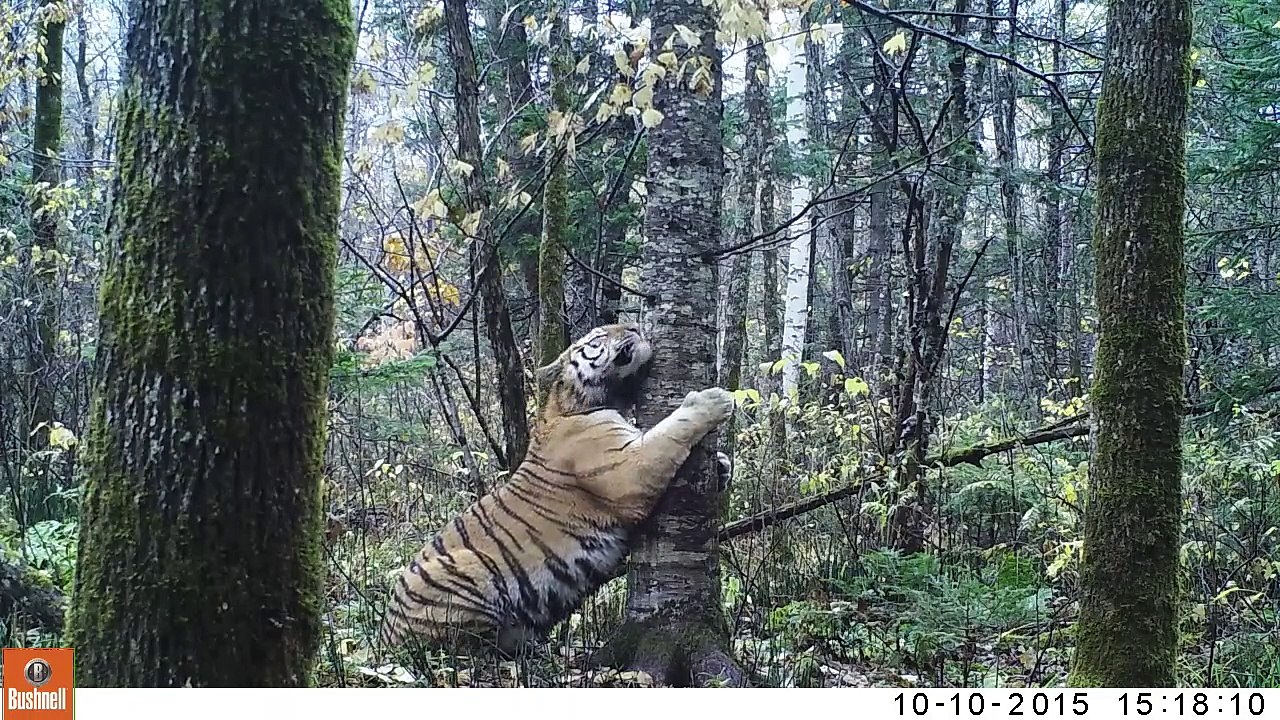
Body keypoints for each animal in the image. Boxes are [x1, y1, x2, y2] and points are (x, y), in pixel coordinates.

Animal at [378, 322, 735, 654]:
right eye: (597, 337)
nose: (634, 325)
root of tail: (385, 637)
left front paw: (722, 465)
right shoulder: (628, 469)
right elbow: (669, 432)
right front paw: (712, 400)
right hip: (467, 569)